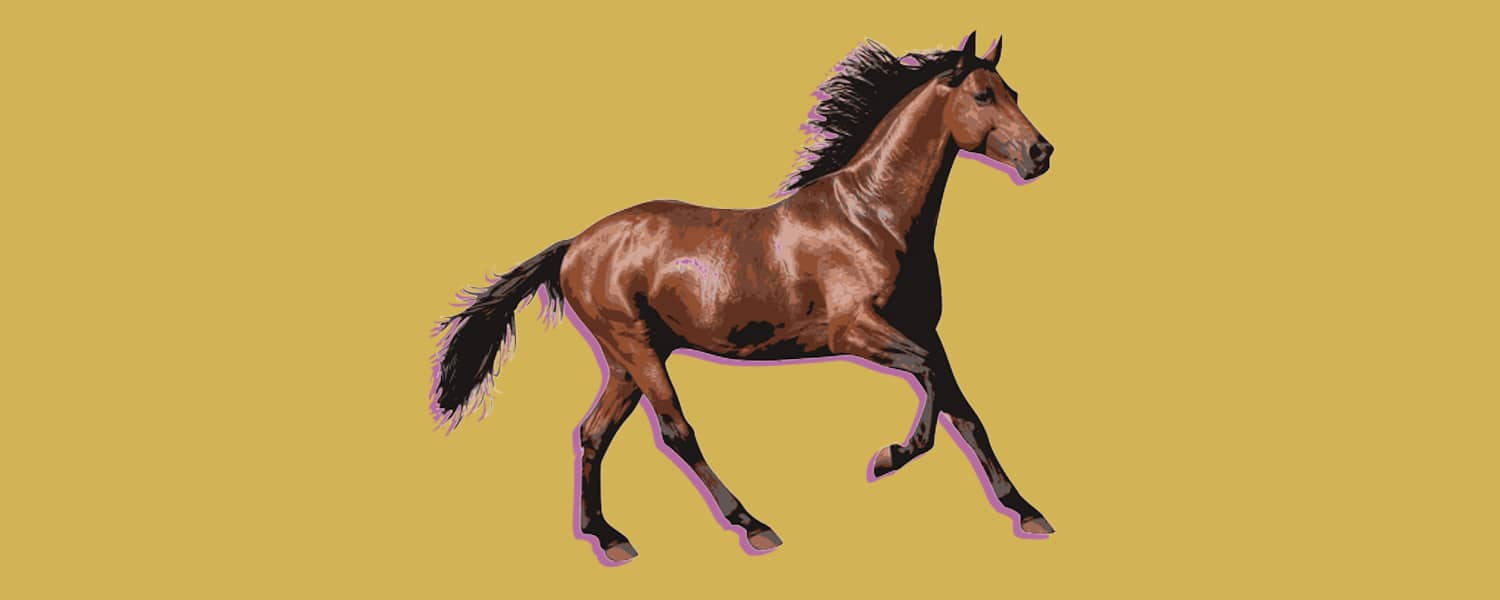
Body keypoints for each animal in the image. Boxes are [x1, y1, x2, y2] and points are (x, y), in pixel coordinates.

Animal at [430, 32, 1056, 563]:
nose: (1041, 152)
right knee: (676, 432)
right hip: (638, 350)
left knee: (593, 433)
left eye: (1014, 92)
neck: (871, 219)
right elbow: (929, 384)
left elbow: (965, 411)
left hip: (627, 360)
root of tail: (574, 246)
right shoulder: (857, 331)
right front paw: (888, 457)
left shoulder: (925, 330)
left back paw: (608, 537)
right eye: (982, 94)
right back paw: (753, 526)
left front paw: (1027, 512)